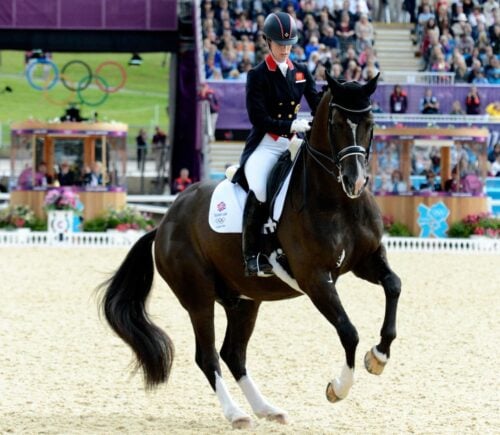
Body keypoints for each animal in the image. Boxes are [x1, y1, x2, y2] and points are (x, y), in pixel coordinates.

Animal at [100, 74, 402, 430]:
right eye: (337, 123)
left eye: (370, 122)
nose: (354, 181)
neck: (338, 201)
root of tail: (164, 223)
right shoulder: (315, 279)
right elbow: (349, 332)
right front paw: (338, 388)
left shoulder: (366, 260)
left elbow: (394, 285)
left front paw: (379, 357)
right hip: (198, 298)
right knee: (208, 356)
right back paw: (237, 414)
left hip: (244, 300)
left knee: (233, 354)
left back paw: (267, 409)